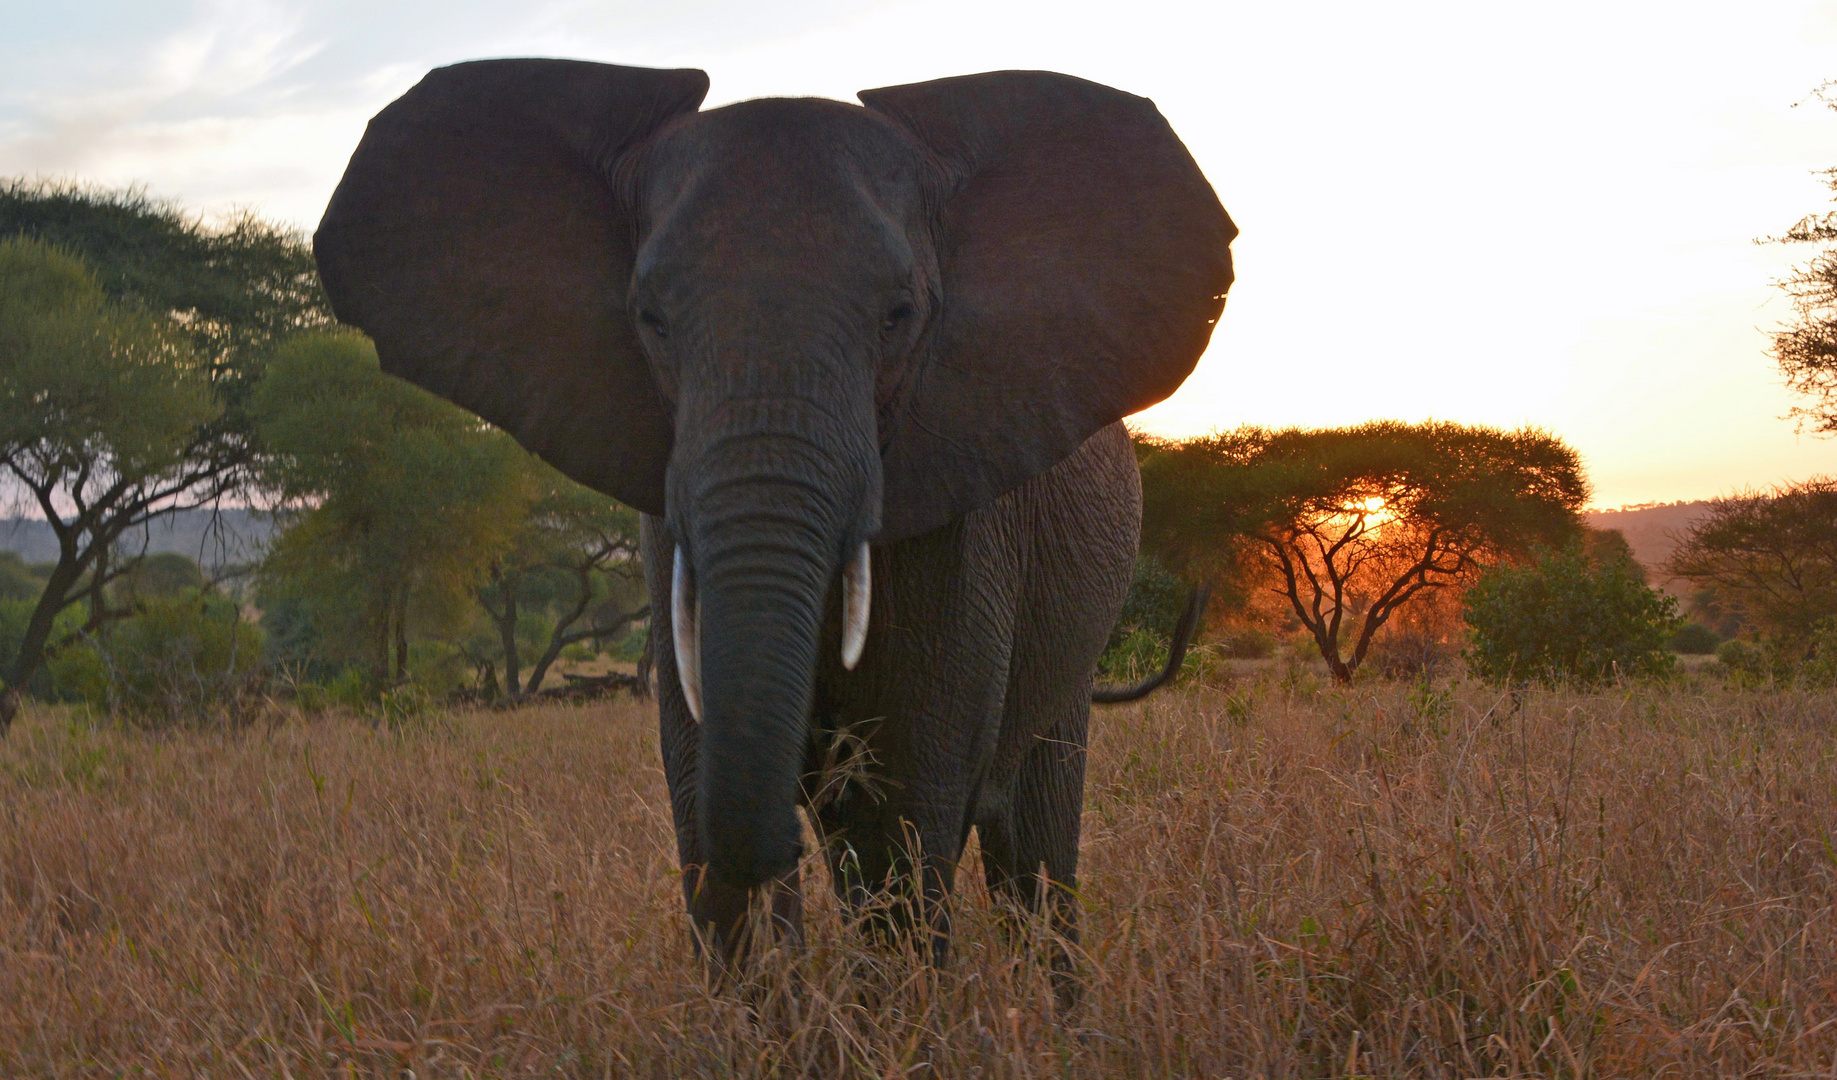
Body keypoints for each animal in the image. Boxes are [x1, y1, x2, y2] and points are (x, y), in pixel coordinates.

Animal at [312, 59, 1234, 977]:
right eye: (650, 319)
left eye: (899, 315)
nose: (787, 834)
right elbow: (701, 805)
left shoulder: (963, 519)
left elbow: (901, 821)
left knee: (1033, 854)